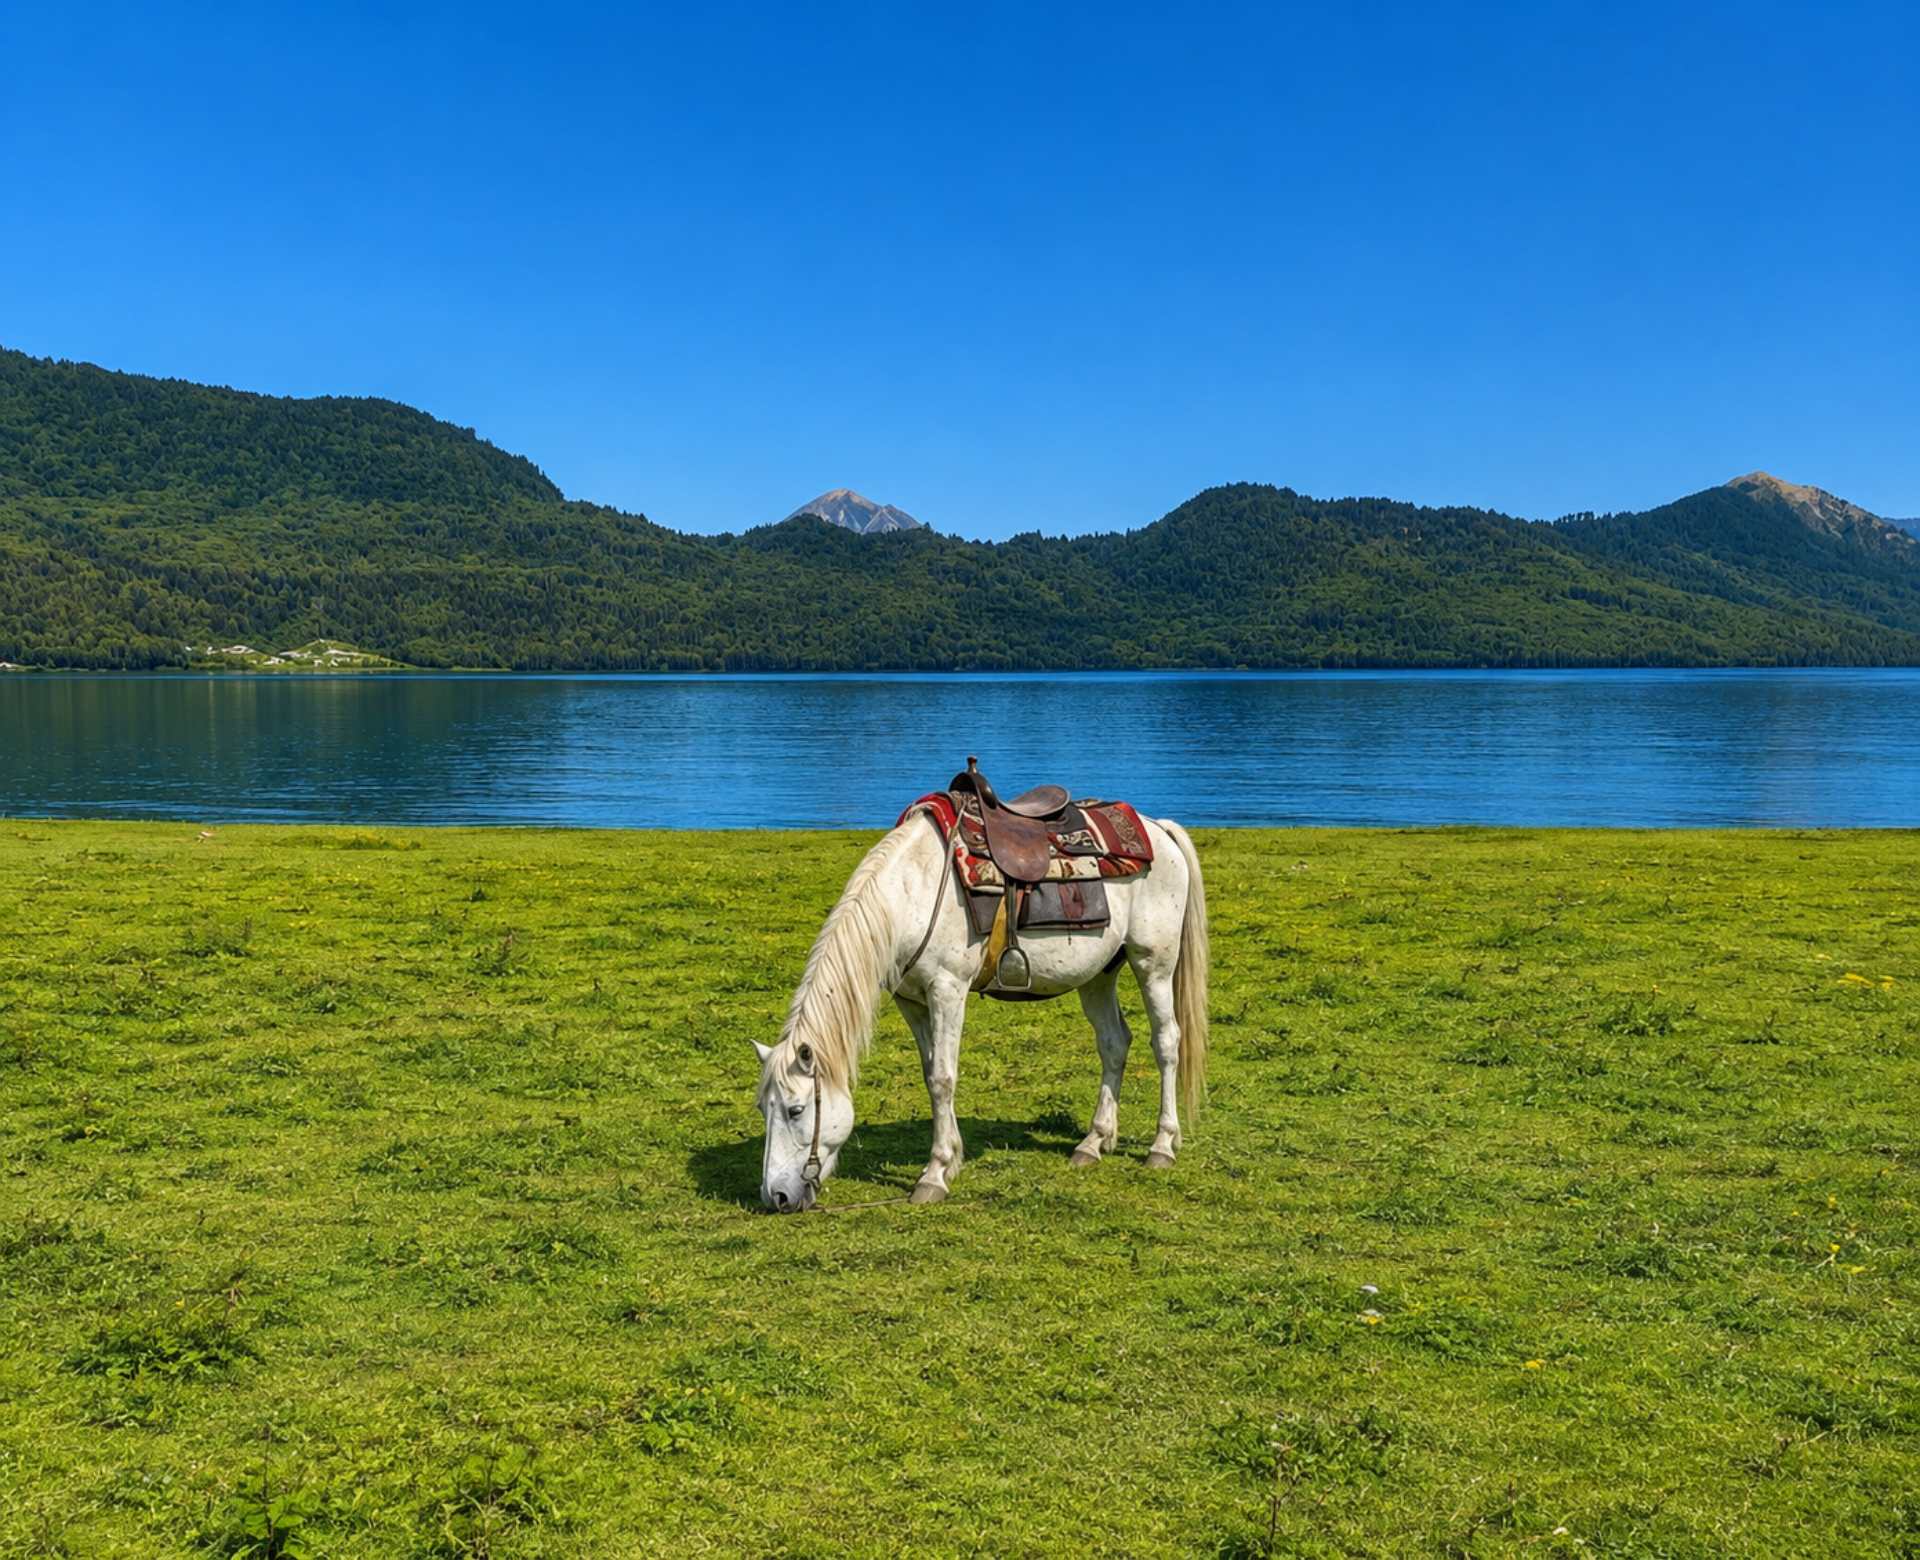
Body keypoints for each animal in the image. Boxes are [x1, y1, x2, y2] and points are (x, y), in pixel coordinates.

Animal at [751, 797, 1208, 1212]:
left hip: (1153, 964)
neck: (911, 893)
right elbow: (931, 1074)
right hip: (1099, 974)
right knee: (1114, 1043)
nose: (777, 1196)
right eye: (762, 1108)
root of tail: (1159, 830)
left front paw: (934, 1175)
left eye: (795, 1110)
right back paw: (1093, 1143)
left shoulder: (947, 990)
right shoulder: (911, 1000)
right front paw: (952, 1157)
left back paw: (1162, 1146)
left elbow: (943, 1078)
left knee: (1166, 1043)